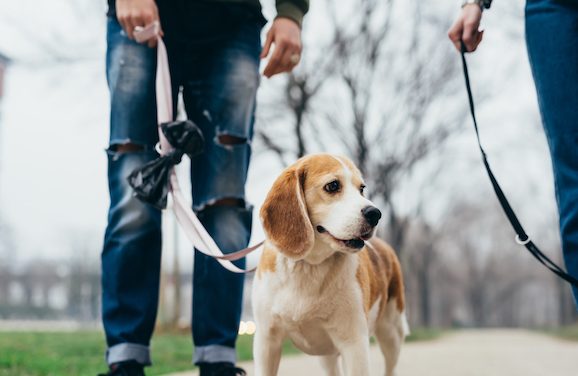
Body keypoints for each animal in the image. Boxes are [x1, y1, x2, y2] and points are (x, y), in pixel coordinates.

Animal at [251, 153, 404, 376]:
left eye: (361, 188)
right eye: (333, 186)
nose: (375, 213)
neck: (307, 266)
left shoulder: (354, 344)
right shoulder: (266, 342)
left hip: (392, 333)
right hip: (327, 355)